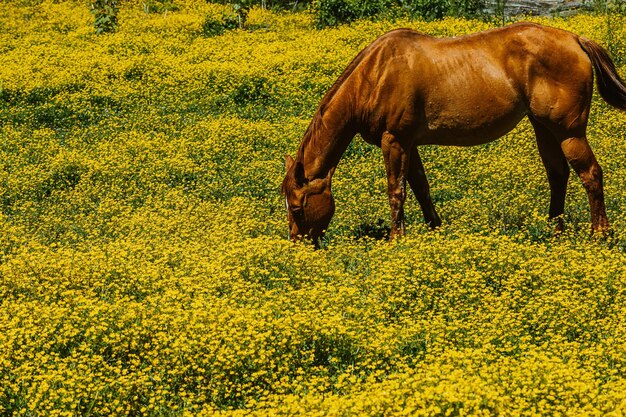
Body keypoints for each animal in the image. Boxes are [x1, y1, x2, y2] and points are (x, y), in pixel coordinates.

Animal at [280, 22, 624, 244]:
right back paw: (555, 231)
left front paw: (395, 239)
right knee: (558, 174)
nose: (298, 244)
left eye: (297, 207)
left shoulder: (394, 141)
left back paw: (599, 235)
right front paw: (435, 228)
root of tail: (576, 39)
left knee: (590, 174)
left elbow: (396, 191)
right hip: (543, 127)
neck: (375, 75)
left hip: (569, 132)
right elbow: (420, 187)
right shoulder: (409, 144)